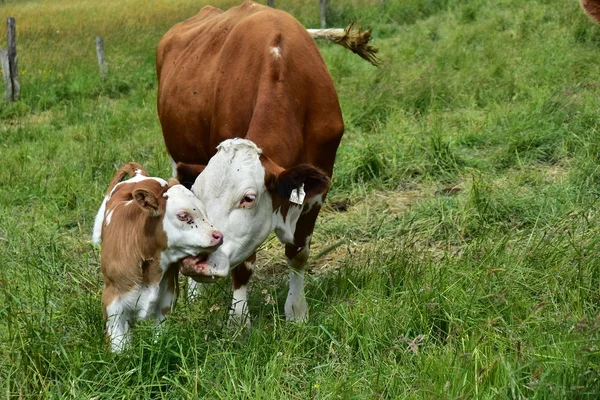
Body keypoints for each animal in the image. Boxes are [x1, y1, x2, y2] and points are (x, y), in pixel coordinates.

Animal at [92, 162, 224, 350]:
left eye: (205, 212)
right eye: (183, 215)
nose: (218, 235)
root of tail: (139, 176)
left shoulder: (167, 300)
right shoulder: (113, 303)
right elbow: (120, 345)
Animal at [156, 0, 360, 324]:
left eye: (248, 198)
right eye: (200, 197)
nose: (196, 262)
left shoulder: (317, 184)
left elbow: (298, 252)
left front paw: (296, 311)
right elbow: (243, 265)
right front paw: (238, 320)